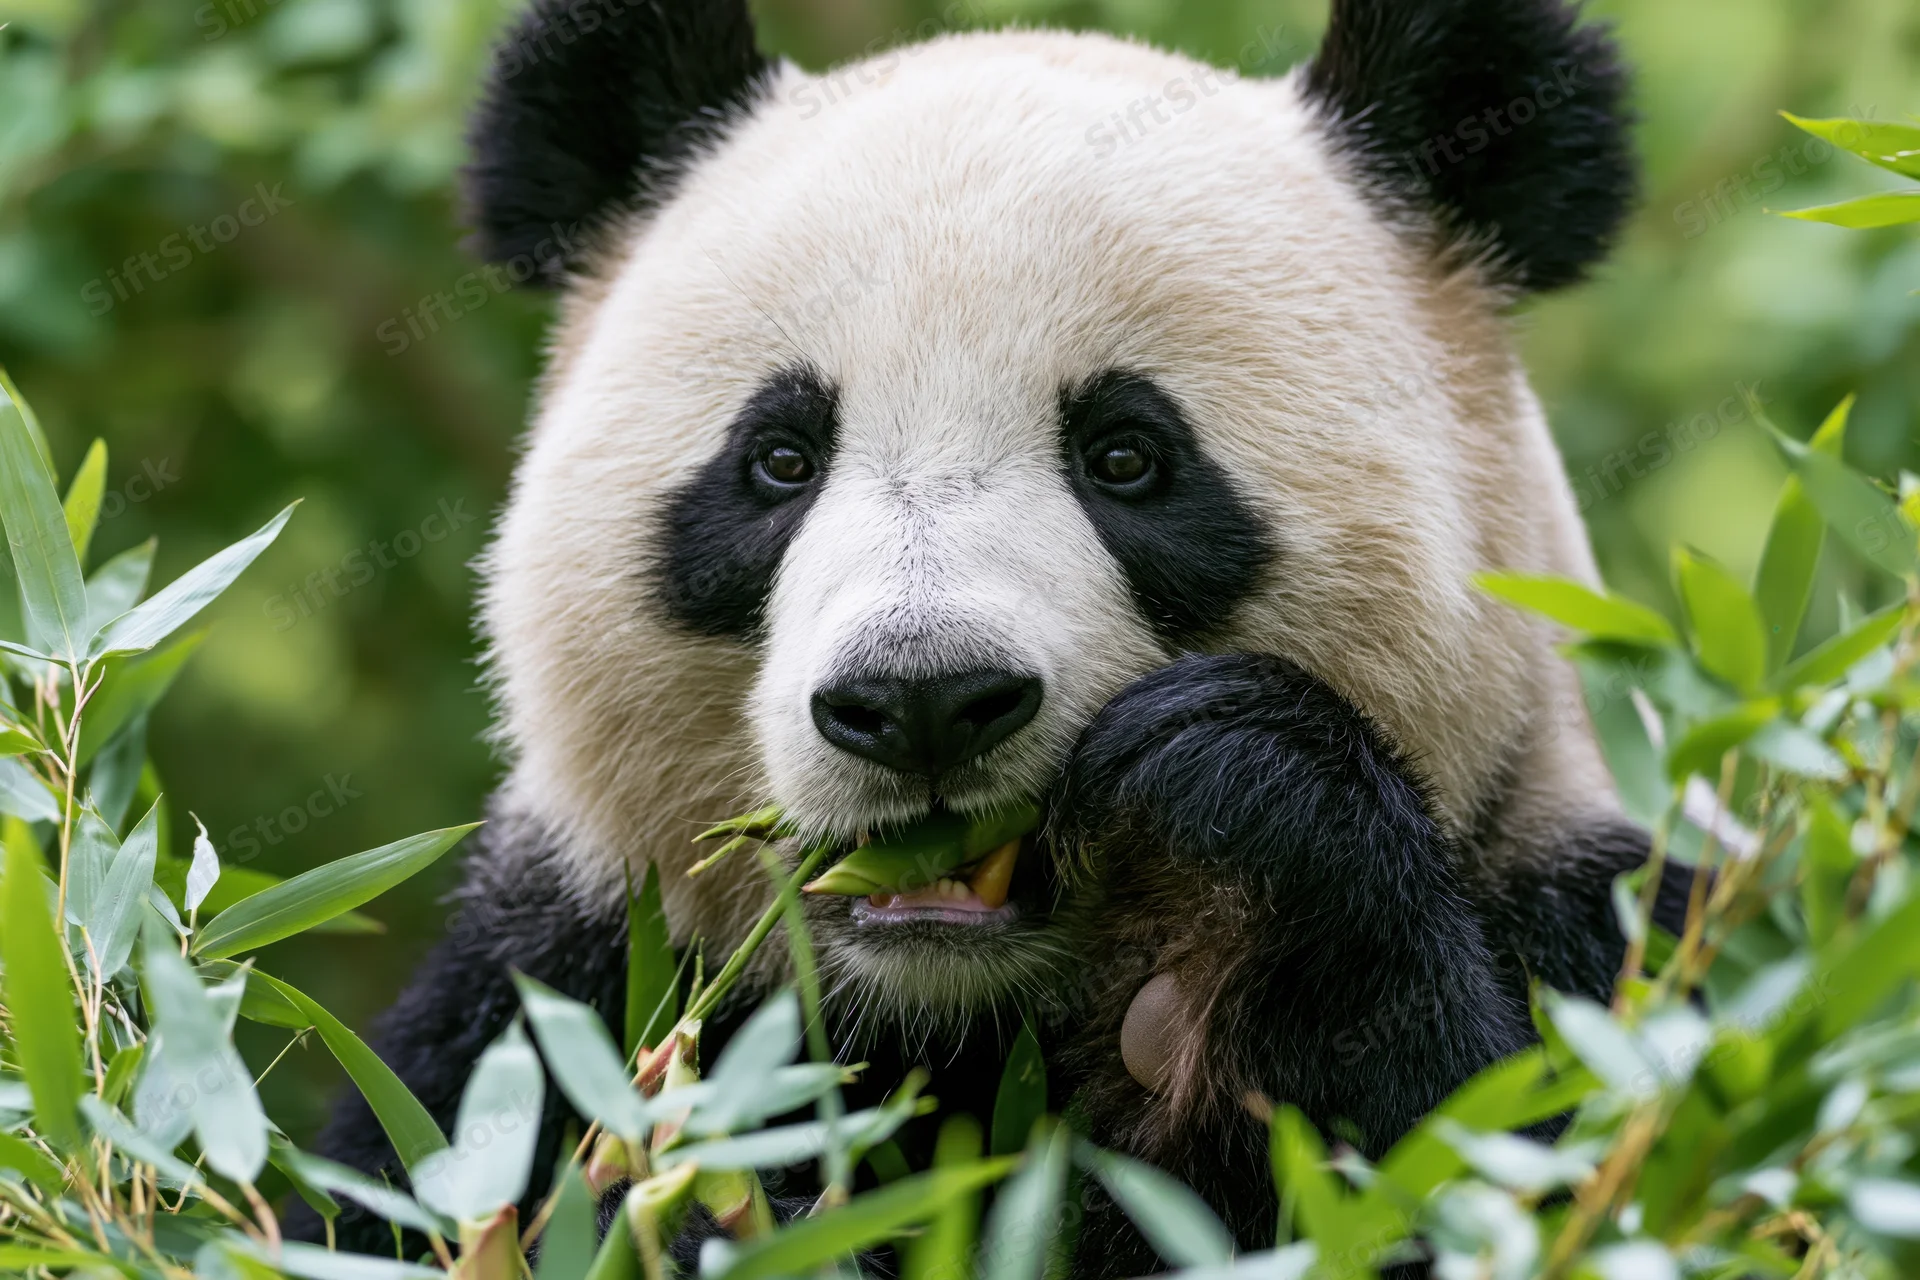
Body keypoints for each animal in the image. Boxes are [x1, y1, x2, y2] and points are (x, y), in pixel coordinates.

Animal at [302, 0, 1695, 1270]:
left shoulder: (1606, 924)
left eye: (1128, 456)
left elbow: (1502, 1168)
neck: (953, 1022)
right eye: (780, 458)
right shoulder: (547, 1003)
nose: (922, 699)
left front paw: (1234, 859)